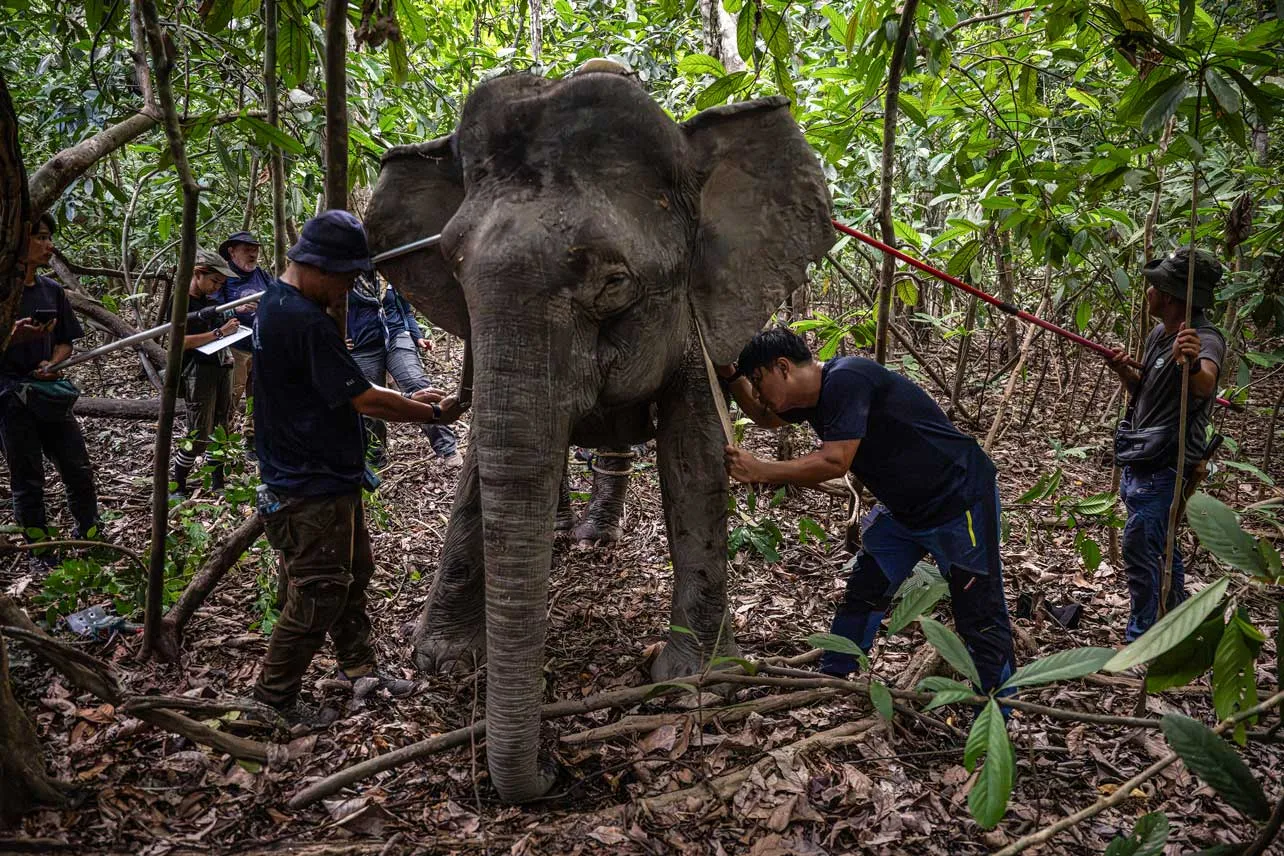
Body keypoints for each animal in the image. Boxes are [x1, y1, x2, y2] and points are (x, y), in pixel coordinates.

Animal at [365, 64, 833, 802]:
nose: (554, 767)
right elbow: (482, 468)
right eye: (451, 268)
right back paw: (572, 534)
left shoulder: (698, 319)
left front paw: (697, 683)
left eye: (615, 282)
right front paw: (440, 657)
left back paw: (593, 538)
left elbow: (695, 459)